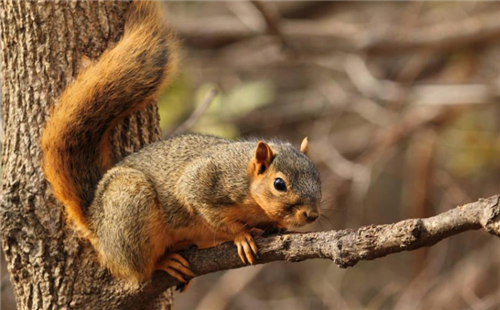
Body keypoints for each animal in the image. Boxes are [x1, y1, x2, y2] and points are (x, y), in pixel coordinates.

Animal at [39, 1, 320, 290]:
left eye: (317, 176)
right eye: (279, 184)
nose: (311, 215)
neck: (247, 181)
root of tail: (95, 221)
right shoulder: (204, 182)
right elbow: (212, 213)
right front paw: (241, 235)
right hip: (129, 205)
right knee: (137, 269)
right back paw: (163, 262)